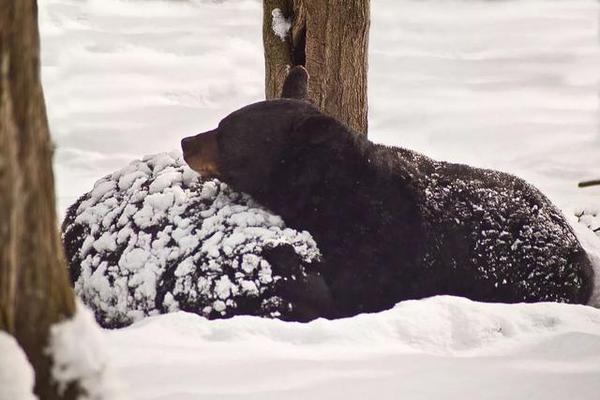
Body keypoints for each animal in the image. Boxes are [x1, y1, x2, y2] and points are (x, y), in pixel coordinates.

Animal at [182, 69, 596, 318]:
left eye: (225, 133)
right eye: (221, 123)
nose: (186, 141)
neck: (329, 196)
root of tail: (576, 249)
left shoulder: (377, 251)